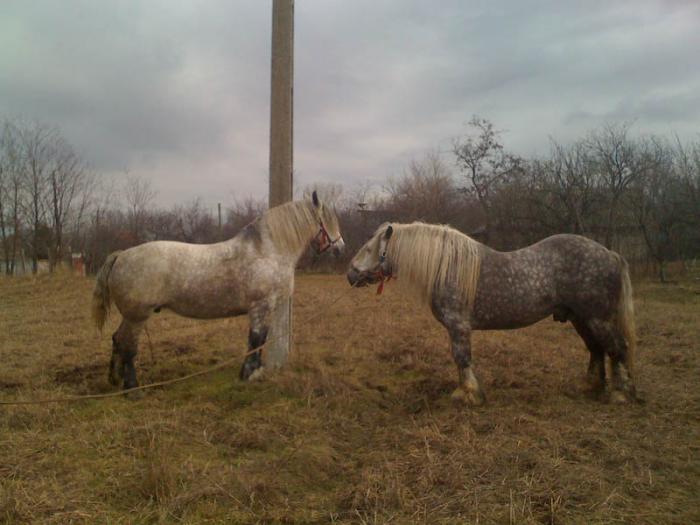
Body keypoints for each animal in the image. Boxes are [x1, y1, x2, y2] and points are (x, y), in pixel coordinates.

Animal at [93, 190, 344, 386]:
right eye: (328, 221)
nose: (341, 248)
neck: (267, 251)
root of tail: (122, 255)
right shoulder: (261, 307)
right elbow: (256, 339)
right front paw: (250, 374)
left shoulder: (263, 309)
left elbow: (258, 340)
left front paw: (252, 371)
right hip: (138, 316)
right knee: (128, 346)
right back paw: (131, 387)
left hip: (131, 315)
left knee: (117, 340)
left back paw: (114, 379)